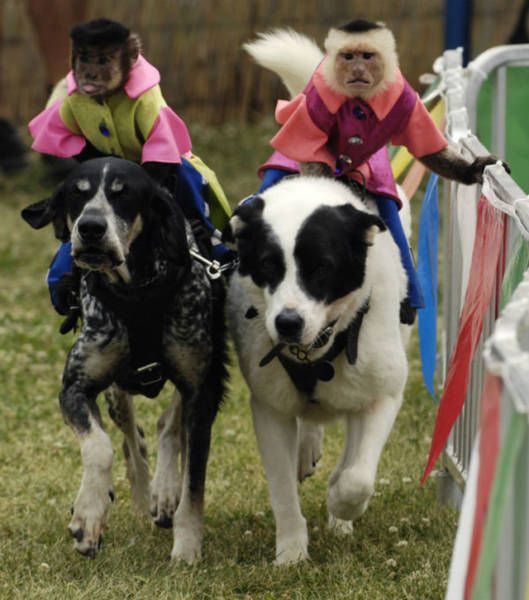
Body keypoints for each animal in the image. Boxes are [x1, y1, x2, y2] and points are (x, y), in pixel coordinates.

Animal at [21, 156, 225, 564]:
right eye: (76, 194)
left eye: (124, 194)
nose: (90, 227)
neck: (137, 293)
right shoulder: (75, 388)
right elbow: (100, 447)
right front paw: (89, 515)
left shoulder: (202, 392)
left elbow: (193, 480)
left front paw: (187, 546)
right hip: (117, 391)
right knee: (132, 438)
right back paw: (144, 492)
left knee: (168, 426)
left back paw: (164, 491)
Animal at [225, 176, 410, 564]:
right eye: (268, 265)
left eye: (322, 266)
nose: (287, 323)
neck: (315, 351)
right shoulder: (270, 407)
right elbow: (282, 489)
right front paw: (291, 553)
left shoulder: (383, 394)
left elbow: (358, 477)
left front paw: (340, 504)